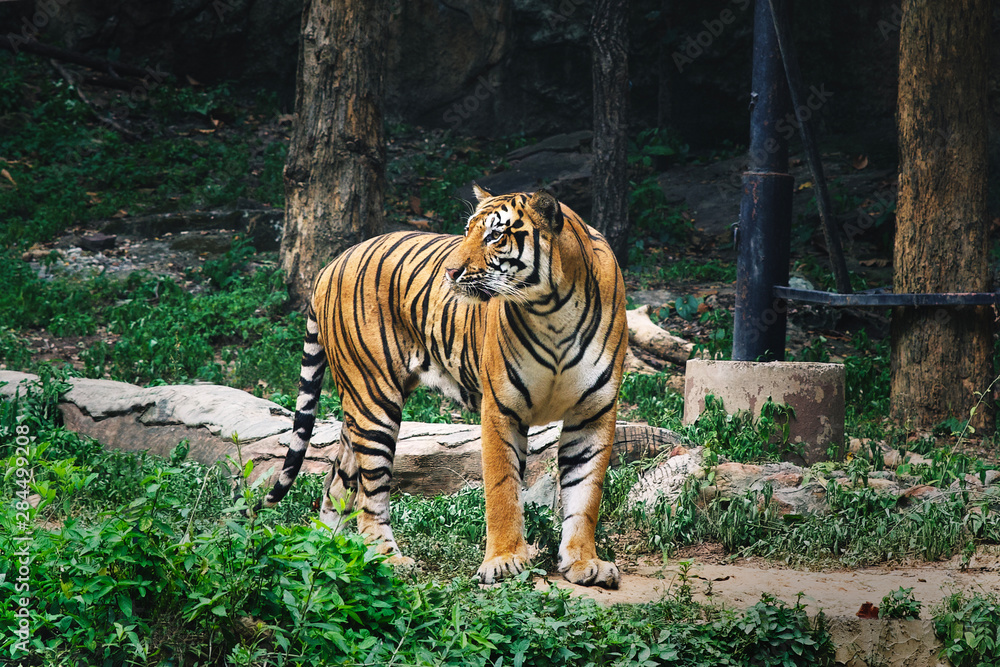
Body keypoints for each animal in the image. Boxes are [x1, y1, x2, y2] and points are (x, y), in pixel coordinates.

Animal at [255, 186, 627, 588]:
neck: (553, 310)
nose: (450, 272)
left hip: (358, 404)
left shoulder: (592, 413)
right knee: (371, 495)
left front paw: (583, 561)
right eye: (467, 231)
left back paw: (328, 551)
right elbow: (502, 490)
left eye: (495, 235)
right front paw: (504, 561)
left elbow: (585, 494)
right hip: (374, 400)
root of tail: (331, 264)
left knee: (337, 479)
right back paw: (387, 560)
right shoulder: (501, 409)